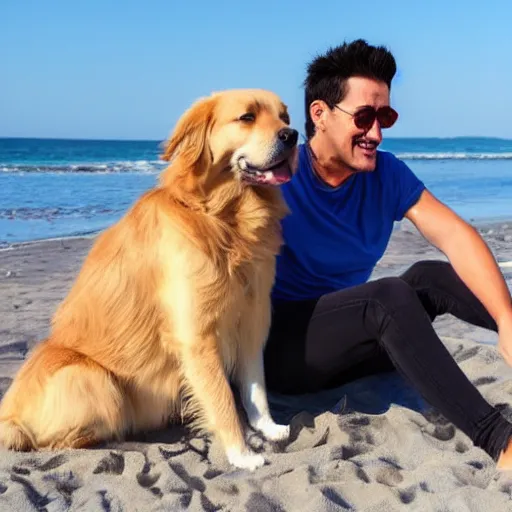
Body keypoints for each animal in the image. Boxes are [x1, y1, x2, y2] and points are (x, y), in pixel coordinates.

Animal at [0, 89, 298, 472]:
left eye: (285, 117)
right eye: (247, 117)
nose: (293, 136)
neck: (222, 217)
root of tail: (7, 415)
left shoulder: (252, 316)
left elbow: (255, 385)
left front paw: (268, 428)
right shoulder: (197, 335)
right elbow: (223, 400)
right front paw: (242, 454)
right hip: (94, 380)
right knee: (63, 440)